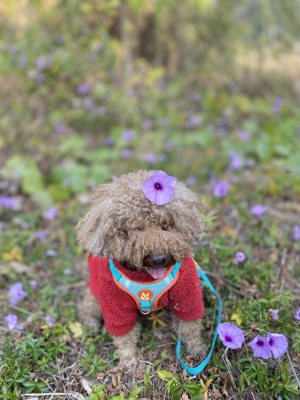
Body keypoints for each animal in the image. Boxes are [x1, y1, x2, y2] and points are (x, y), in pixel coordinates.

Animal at [77, 170, 206, 368]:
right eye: (138, 228)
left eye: (166, 226)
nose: (158, 259)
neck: (146, 279)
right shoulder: (114, 303)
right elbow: (124, 336)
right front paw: (128, 360)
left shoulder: (186, 292)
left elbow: (189, 324)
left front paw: (197, 349)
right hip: (95, 292)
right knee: (87, 306)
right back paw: (90, 323)